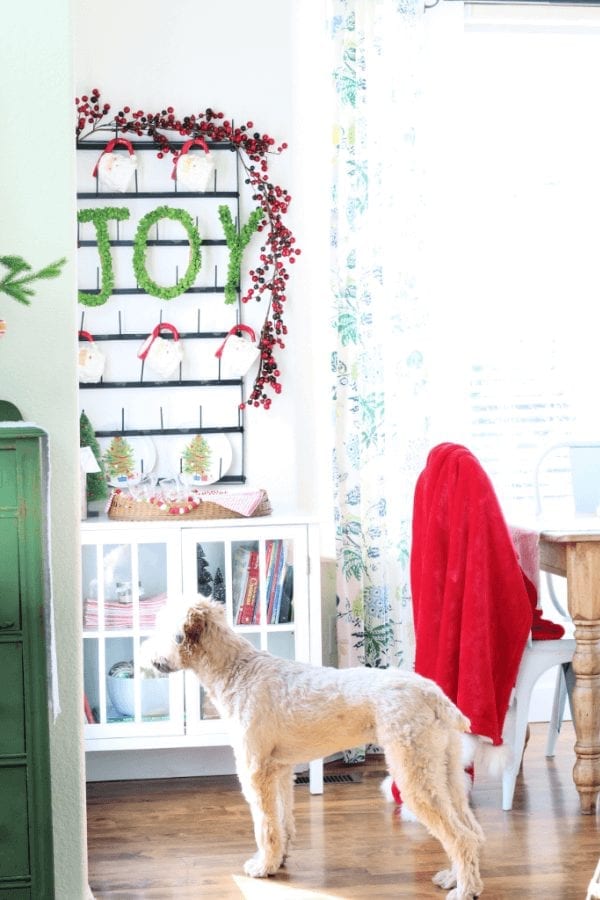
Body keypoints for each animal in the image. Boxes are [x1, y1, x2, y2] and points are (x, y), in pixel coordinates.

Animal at [143, 596, 486, 900]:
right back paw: (454, 878)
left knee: (461, 837)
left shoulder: (254, 771)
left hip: (415, 776)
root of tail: (433, 694)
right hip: (445, 771)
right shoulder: (279, 770)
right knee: (470, 829)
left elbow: (265, 825)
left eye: (161, 627)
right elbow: (282, 821)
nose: (145, 657)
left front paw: (263, 866)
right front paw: (279, 859)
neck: (237, 671)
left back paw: (465, 890)